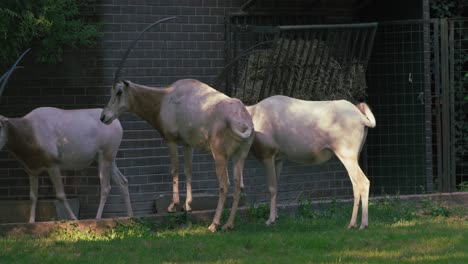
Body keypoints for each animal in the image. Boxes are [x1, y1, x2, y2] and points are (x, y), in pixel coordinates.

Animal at [100, 17, 254, 231]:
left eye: (119, 91)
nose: (104, 116)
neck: (164, 98)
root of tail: (241, 117)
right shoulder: (188, 144)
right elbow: (188, 170)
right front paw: (188, 205)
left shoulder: (171, 140)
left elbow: (174, 169)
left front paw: (173, 206)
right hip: (240, 155)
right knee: (239, 185)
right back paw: (228, 225)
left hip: (219, 154)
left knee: (225, 185)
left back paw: (214, 224)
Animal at [249, 95, 376, 229]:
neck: (253, 113)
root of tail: (362, 118)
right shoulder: (278, 159)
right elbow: (277, 186)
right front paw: (276, 217)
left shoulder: (267, 155)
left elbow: (271, 187)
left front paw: (270, 220)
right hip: (352, 157)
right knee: (355, 184)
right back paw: (351, 224)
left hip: (347, 155)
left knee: (363, 182)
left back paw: (363, 225)